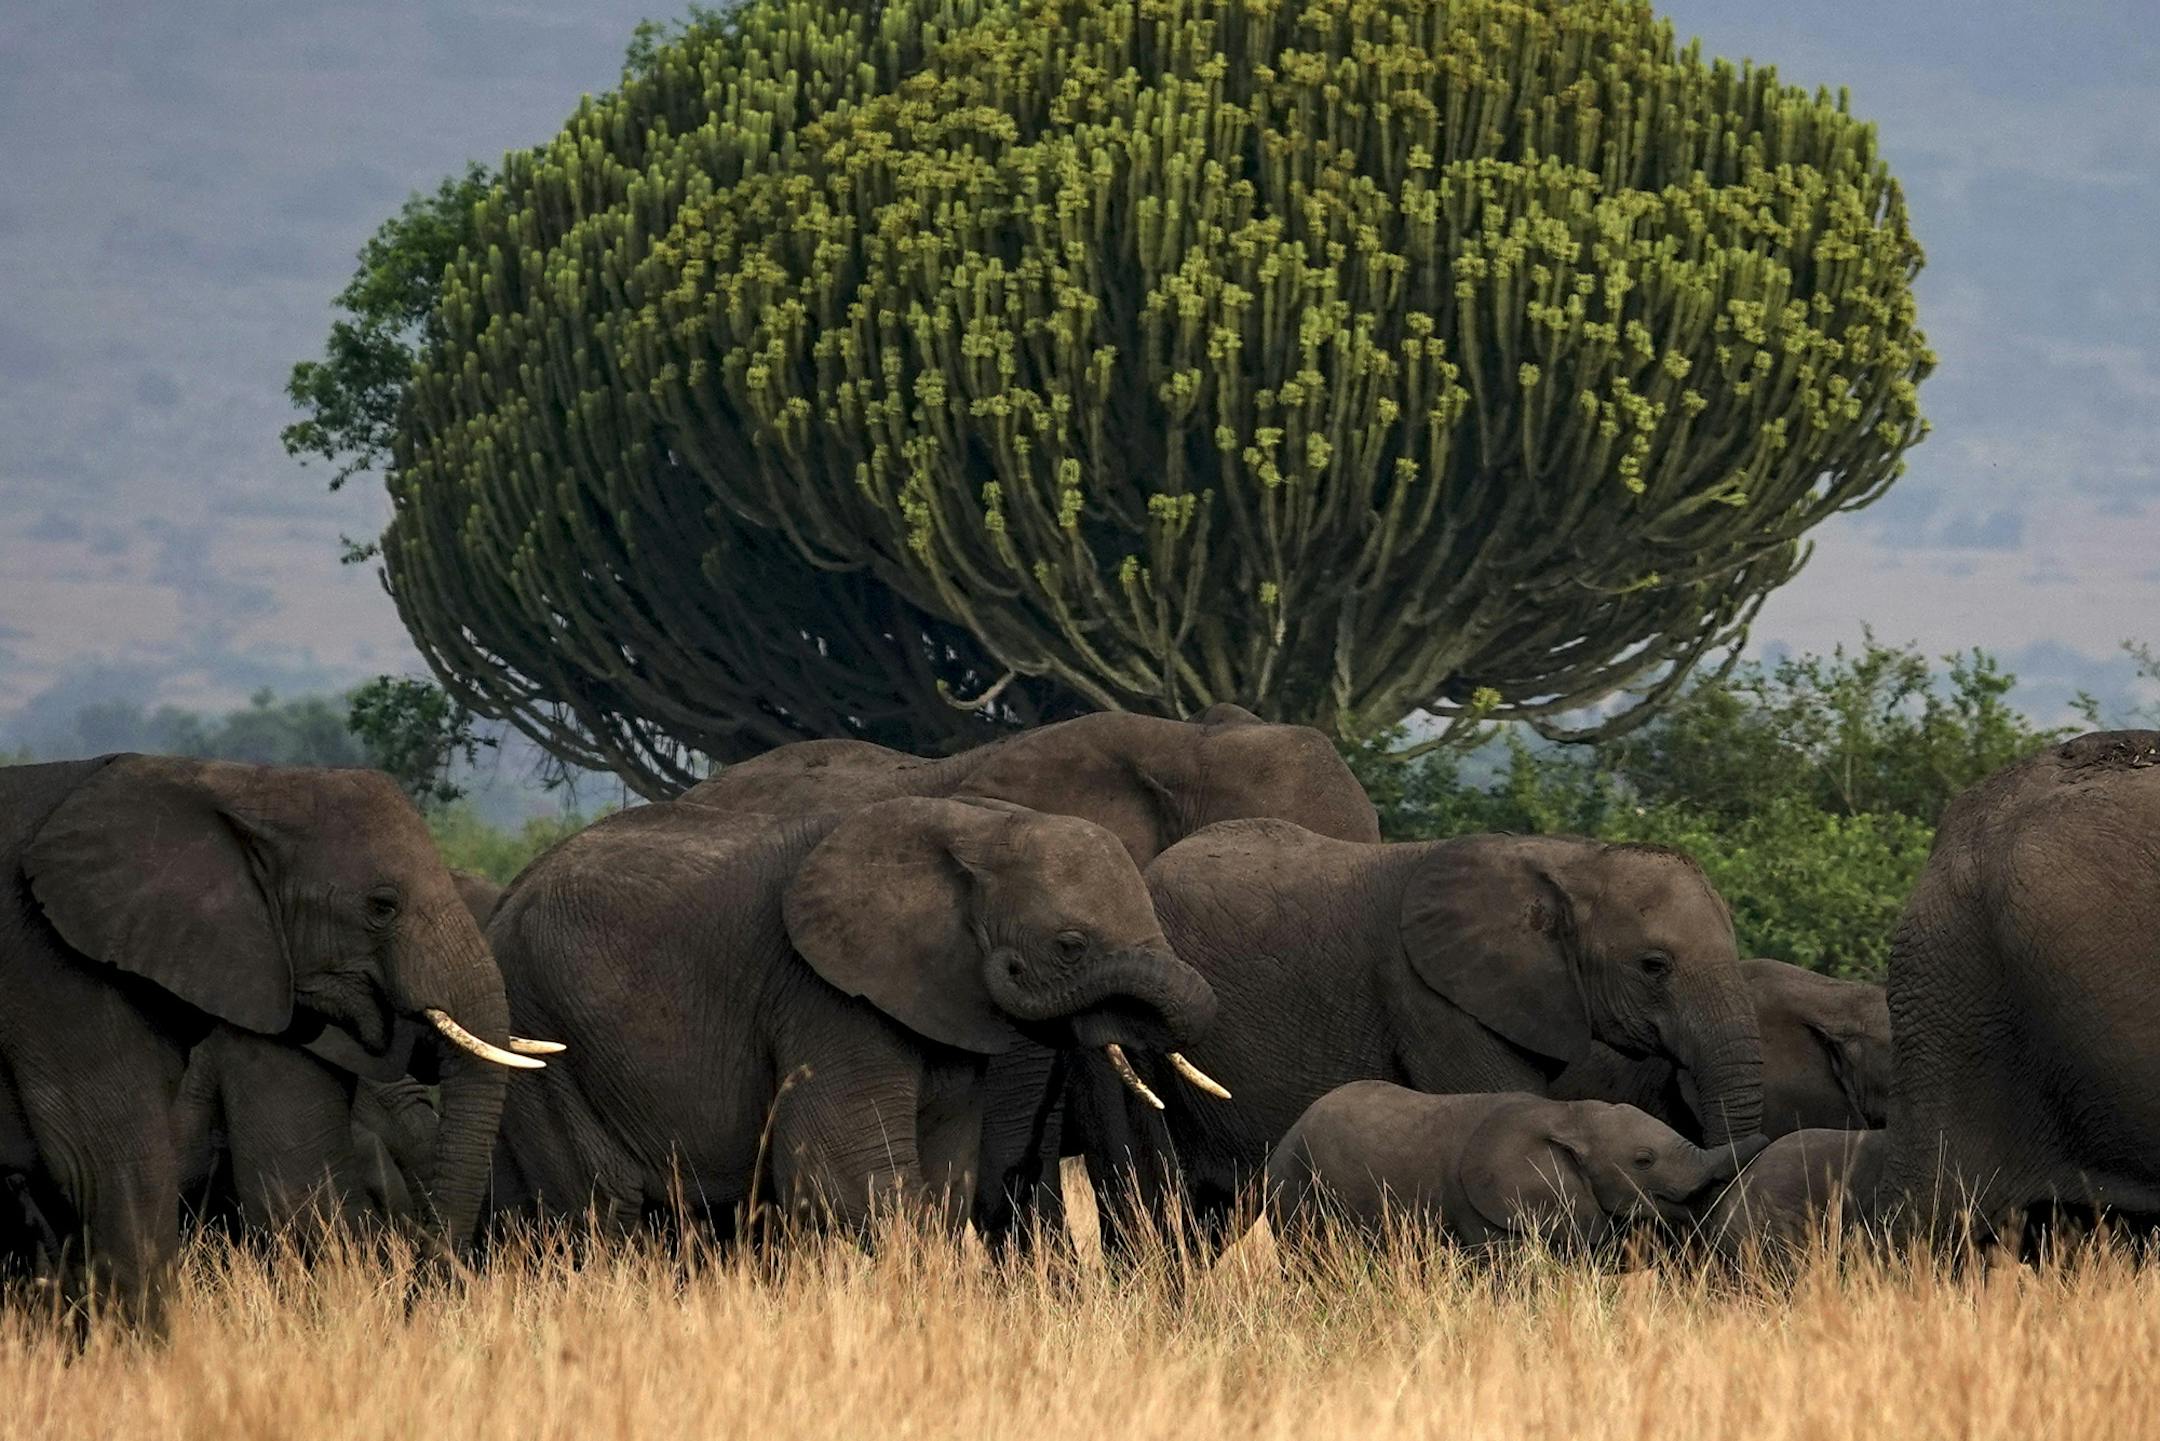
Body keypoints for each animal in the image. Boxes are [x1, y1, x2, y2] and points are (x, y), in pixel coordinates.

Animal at [487, 795, 1221, 1238]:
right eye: (1070, 946)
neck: (975, 825)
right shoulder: (821, 995)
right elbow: (855, 1180)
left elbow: (947, 1177)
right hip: (539, 1021)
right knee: (599, 1203)